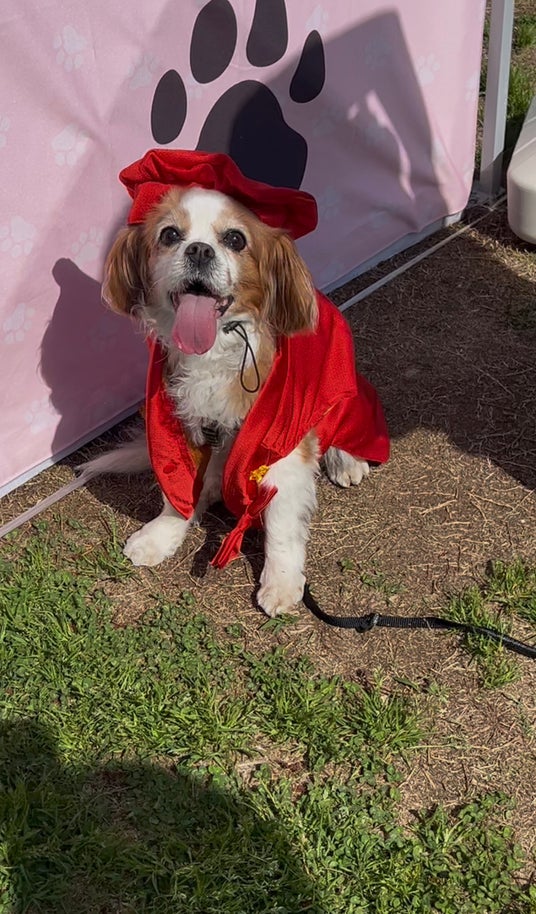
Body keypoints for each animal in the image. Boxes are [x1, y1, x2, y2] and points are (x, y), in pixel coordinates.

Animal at [85, 153, 388, 617]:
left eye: (234, 239)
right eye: (170, 235)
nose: (198, 249)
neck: (217, 347)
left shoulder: (281, 442)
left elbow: (281, 524)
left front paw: (281, 581)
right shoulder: (176, 423)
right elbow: (176, 490)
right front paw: (163, 534)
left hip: (346, 393)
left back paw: (345, 459)